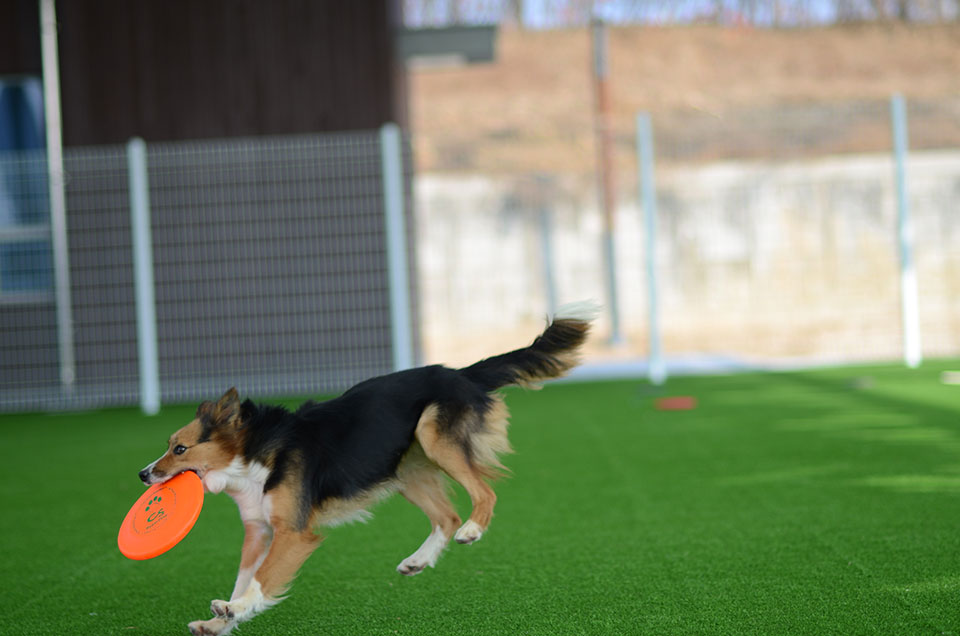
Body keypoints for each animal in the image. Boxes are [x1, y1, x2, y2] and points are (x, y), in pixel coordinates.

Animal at [139, 300, 596, 632]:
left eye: (179, 449)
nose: (143, 475)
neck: (255, 454)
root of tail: (461, 373)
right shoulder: (258, 531)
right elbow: (243, 574)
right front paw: (219, 620)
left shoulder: (293, 533)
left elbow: (261, 578)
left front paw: (238, 608)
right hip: (404, 468)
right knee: (445, 516)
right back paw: (419, 559)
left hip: (433, 434)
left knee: (483, 493)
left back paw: (472, 529)